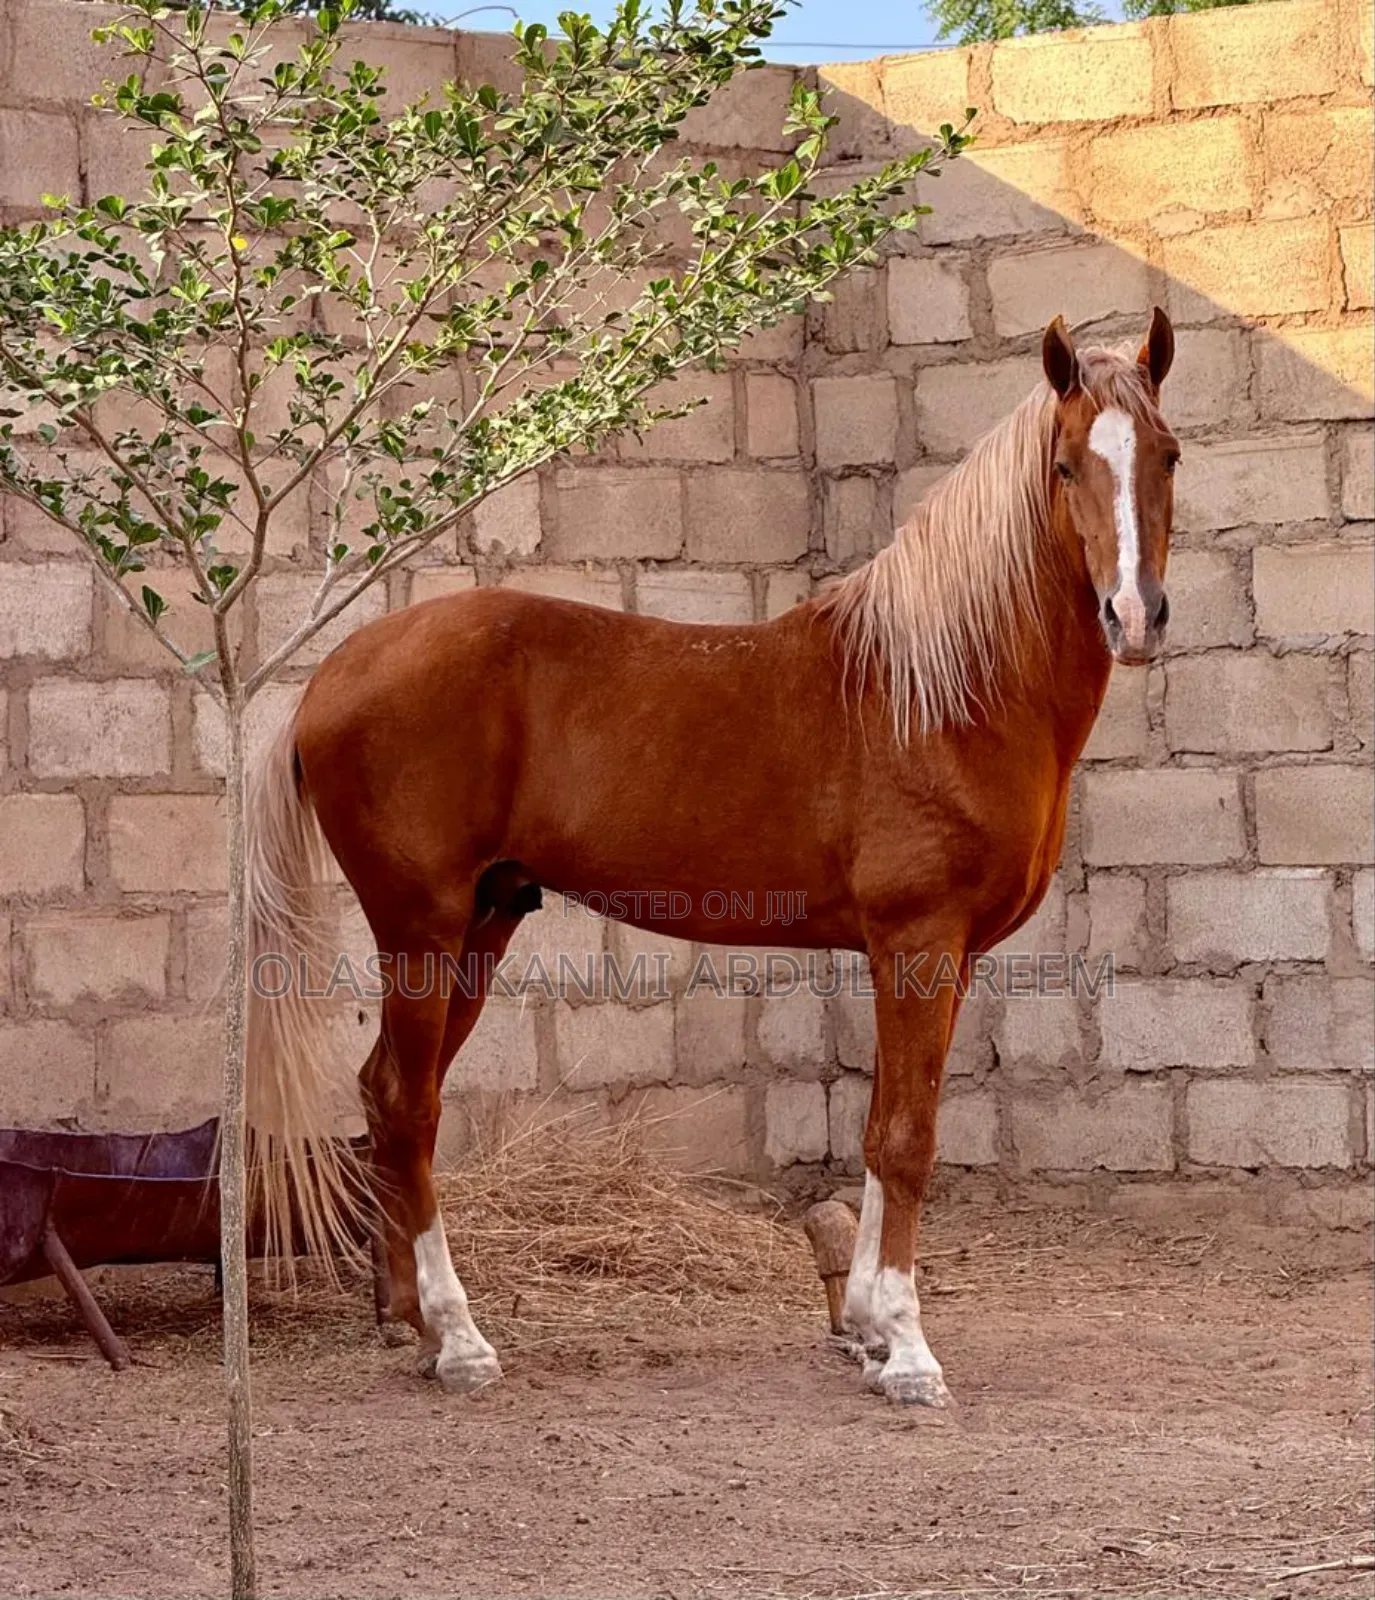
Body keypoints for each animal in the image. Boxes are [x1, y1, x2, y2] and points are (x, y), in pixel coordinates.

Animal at [244, 308, 1181, 1406]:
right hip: (421, 927)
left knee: (388, 1095)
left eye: (1165, 454)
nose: (1134, 616)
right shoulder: (918, 942)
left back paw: (412, 1323)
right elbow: (905, 1139)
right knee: (405, 1106)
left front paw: (868, 1328)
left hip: (483, 923)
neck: (943, 689)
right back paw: (461, 1338)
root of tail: (330, 676)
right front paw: (908, 1353)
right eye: (1067, 466)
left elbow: (883, 1129)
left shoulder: (938, 959)